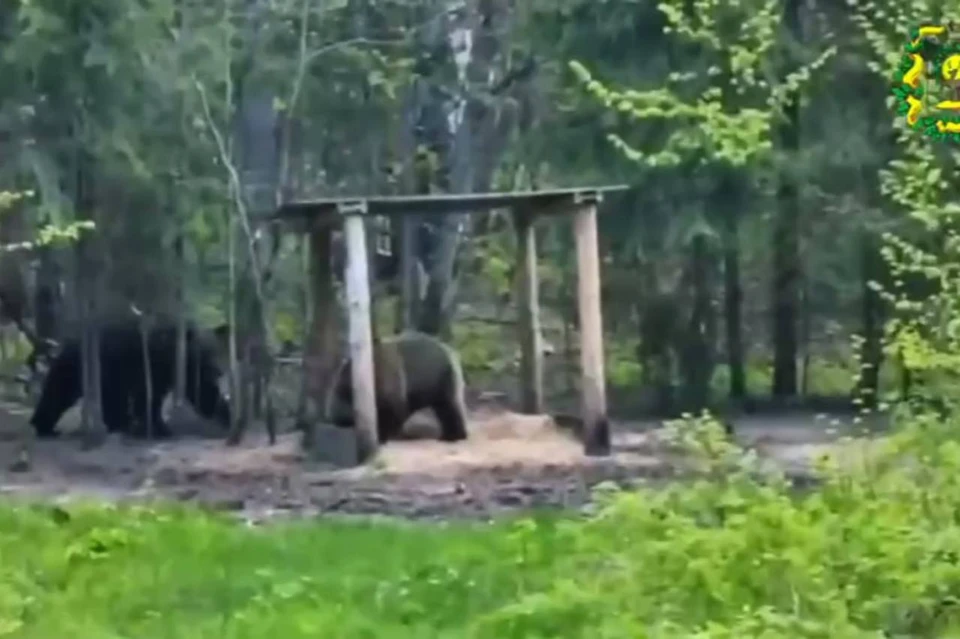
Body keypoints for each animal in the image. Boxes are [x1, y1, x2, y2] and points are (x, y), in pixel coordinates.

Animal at [31, 316, 230, 438]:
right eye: (207, 353)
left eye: (216, 350)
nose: (218, 371)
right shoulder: (150, 365)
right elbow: (148, 397)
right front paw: (159, 428)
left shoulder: (182, 373)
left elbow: (202, 395)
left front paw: (225, 413)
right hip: (84, 367)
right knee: (59, 392)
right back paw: (42, 425)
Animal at [324, 332, 470, 442]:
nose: (333, 418)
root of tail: (452, 352)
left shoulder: (388, 378)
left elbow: (392, 410)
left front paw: (383, 434)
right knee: (444, 407)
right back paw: (449, 434)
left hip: (441, 375)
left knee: (450, 405)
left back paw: (455, 435)